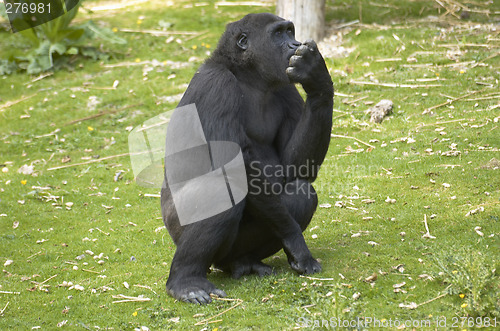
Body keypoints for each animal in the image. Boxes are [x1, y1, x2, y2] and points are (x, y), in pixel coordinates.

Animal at [161, 13, 332, 304]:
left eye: (290, 31)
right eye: (278, 34)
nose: (294, 44)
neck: (245, 74)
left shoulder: (284, 85)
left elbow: (297, 168)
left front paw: (318, 79)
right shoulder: (218, 85)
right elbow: (234, 170)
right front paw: (296, 242)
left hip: (230, 253)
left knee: (301, 193)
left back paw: (243, 261)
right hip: (177, 232)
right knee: (222, 190)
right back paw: (185, 279)